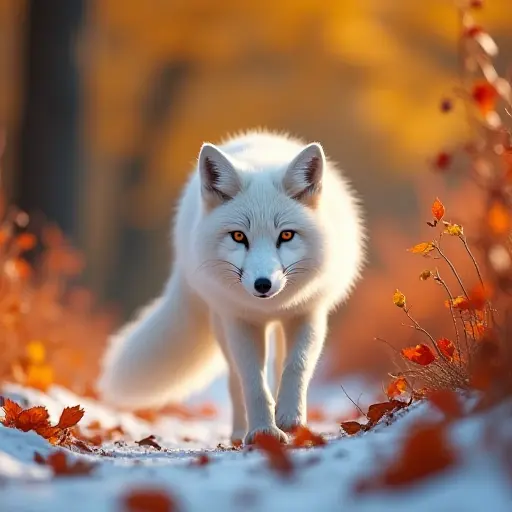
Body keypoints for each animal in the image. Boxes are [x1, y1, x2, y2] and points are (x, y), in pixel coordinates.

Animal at [99, 129, 364, 444]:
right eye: (239, 236)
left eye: (286, 235)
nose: (263, 285)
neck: (270, 307)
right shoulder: (239, 321)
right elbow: (252, 383)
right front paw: (263, 432)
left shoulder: (308, 313)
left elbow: (296, 366)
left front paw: (290, 418)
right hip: (221, 325)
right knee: (234, 380)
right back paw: (240, 433)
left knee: (278, 366)